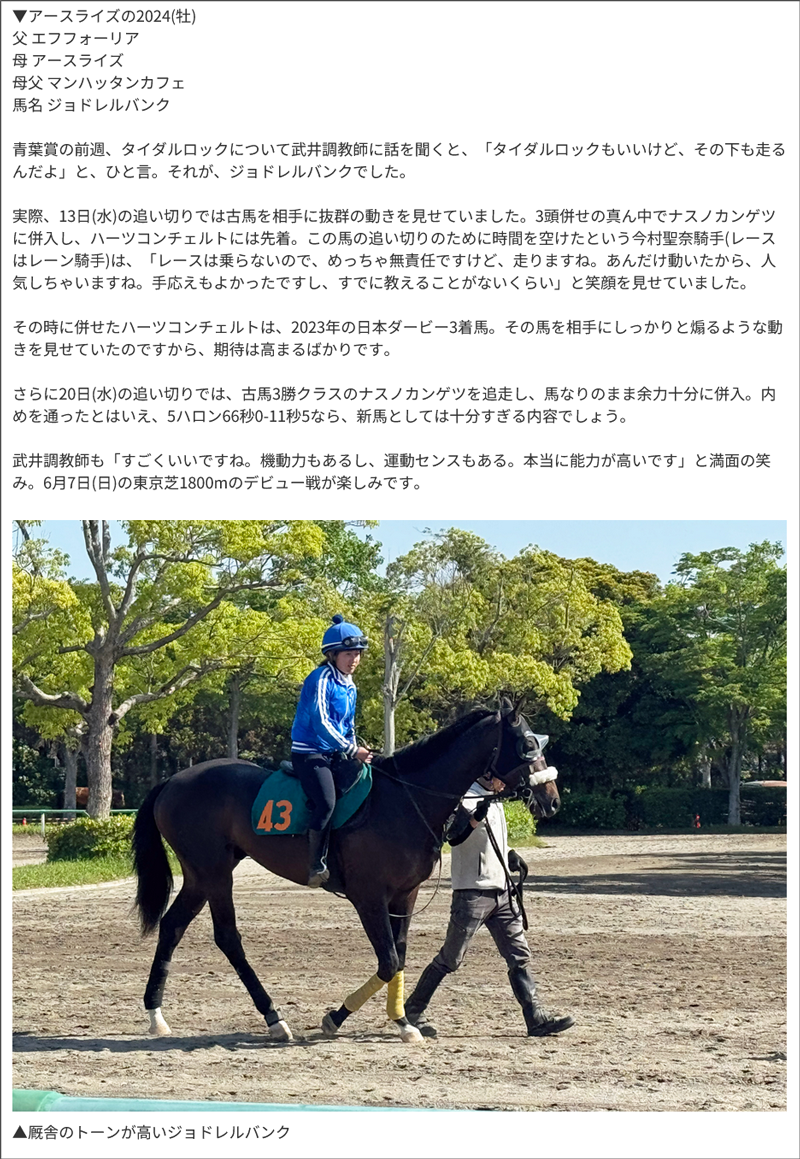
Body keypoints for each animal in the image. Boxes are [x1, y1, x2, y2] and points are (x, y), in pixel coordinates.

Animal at [131, 698, 560, 1045]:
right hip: (216, 873)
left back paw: (156, 1014)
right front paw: (337, 1018)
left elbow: (399, 957)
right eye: (526, 745)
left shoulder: (404, 895)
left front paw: (403, 1022)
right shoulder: (369, 897)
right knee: (228, 938)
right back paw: (273, 1017)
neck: (404, 798)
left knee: (172, 926)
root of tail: (172, 780)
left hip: (200, 875)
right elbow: (388, 961)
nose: (551, 799)